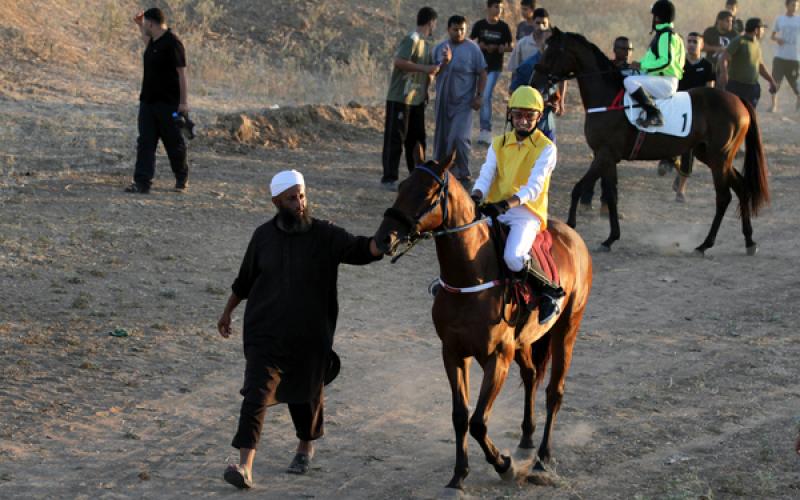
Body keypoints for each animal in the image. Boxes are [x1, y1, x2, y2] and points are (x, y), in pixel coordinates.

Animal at [372, 153, 592, 496]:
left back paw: (543, 457)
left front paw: (504, 465)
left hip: (566, 330)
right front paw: (458, 475)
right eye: (402, 185)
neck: (471, 275)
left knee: (554, 391)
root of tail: (573, 236)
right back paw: (527, 439)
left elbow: (478, 421)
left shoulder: (497, 357)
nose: (385, 238)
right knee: (531, 376)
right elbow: (461, 416)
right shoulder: (453, 353)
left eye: (427, 193)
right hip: (524, 341)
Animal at [532, 27, 768, 254]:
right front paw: (610, 238)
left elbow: (578, 188)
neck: (608, 99)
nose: (535, 82)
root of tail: (737, 99)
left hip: (720, 158)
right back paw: (749, 241)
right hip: (711, 156)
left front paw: (570, 226)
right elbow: (611, 195)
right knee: (741, 188)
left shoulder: (604, 154)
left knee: (724, 197)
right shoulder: (608, 158)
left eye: (551, 52)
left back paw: (705, 245)